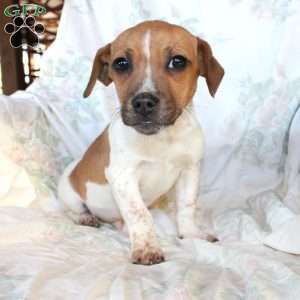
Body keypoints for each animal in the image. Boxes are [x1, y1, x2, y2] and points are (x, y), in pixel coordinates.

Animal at [57, 20, 224, 264]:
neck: (163, 138)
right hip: (69, 193)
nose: (143, 102)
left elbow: (186, 206)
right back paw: (84, 218)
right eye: (121, 63)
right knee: (71, 210)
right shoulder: (123, 177)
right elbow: (140, 214)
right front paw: (146, 248)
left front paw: (191, 234)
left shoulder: (190, 170)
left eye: (178, 61)